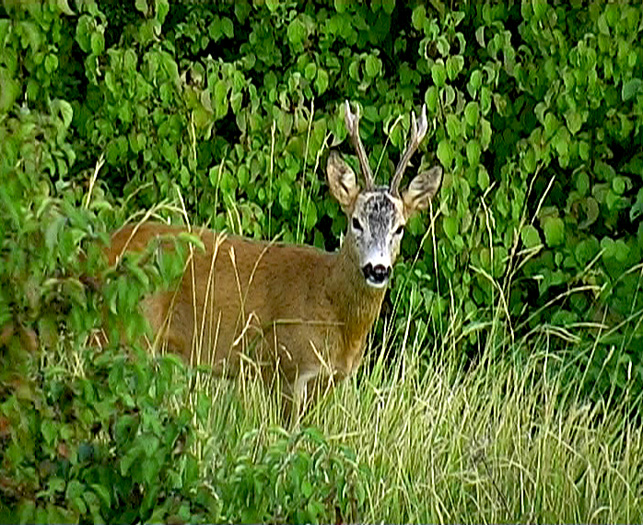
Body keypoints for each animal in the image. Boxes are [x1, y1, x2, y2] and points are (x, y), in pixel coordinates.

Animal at [108, 102, 446, 404]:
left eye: (400, 227)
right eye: (356, 221)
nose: (377, 269)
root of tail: (104, 246)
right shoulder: (287, 367)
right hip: (125, 333)